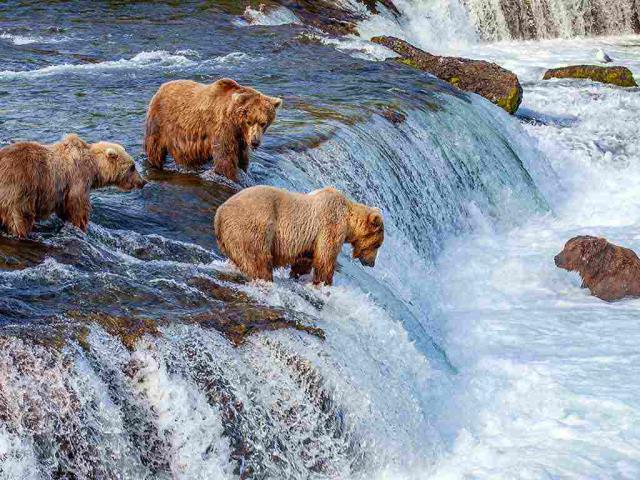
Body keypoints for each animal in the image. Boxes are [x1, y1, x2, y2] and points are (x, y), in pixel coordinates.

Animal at [0, 133, 146, 238]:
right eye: (132, 167)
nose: (143, 181)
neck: (94, 168)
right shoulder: (77, 179)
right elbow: (77, 205)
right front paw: (81, 225)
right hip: (19, 188)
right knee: (20, 216)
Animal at [144, 78, 282, 182]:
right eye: (249, 121)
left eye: (263, 123)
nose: (255, 142)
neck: (236, 123)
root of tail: (161, 87)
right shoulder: (222, 128)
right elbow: (225, 159)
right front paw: (232, 177)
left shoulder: (240, 138)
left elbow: (242, 157)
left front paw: (243, 170)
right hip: (160, 123)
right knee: (155, 149)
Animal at [214, 185, 384, 285]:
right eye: (377, 245)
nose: (371, 263)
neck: (348, 219)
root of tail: (219, 214)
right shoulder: (330, 225)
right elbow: (325, 258)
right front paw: (324, 283)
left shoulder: (310, 241)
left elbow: (304, 260)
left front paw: (298, 275)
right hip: (252, 227)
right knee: (258, 260)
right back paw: (266, 278)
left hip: (231, 237)